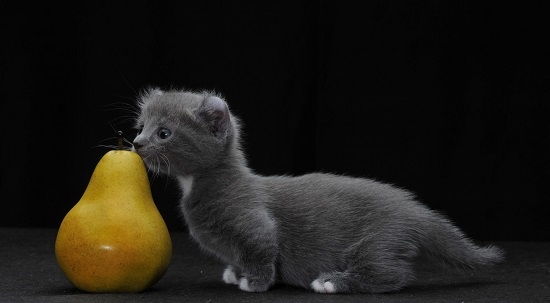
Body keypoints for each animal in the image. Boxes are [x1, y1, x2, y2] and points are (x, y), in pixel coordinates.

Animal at [133, 88, 504, 294]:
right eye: (141, 126)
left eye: (163, 133)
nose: (136, 142)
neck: (197, 186)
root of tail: (415, 209)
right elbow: (238, 257)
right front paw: (235, 273)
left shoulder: (254, 224)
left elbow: (261, 248)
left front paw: (255, 282)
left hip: (379, 239)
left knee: (393, 273)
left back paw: (332, 282)